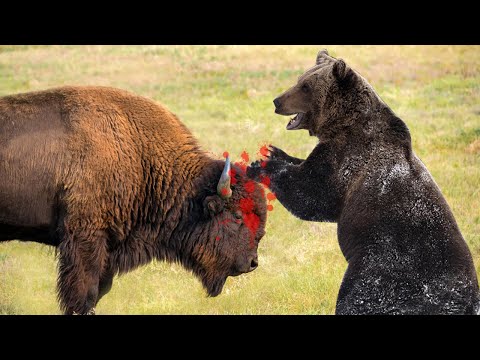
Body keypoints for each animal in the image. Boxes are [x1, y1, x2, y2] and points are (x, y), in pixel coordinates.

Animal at [248, 49, 480, 314]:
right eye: (299, 79)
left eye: (305, 86)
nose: (277, 101)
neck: (343, 125)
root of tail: (468, 301)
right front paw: (274, 152)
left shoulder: (348, 159)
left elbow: (312, 194)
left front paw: (260, 165)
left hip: (384, 267)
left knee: (358, 296)